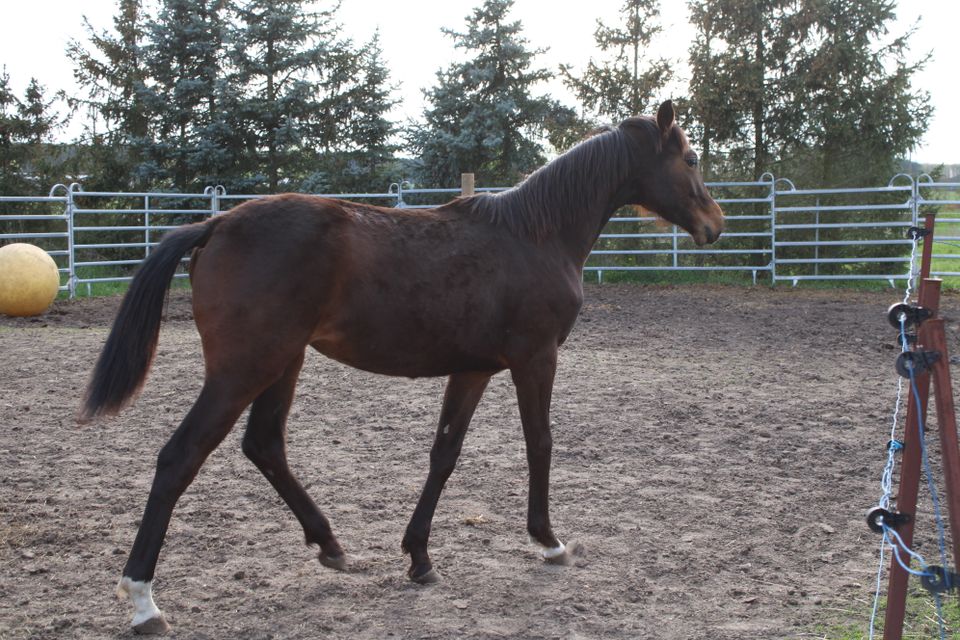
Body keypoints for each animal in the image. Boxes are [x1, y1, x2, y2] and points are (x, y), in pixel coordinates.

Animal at [82, 102, 724, 632]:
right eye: (691, 158)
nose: (715, 224)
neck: (534, 235)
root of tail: (216, 224)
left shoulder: (473, 370)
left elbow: (445, 453)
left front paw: (419, 556)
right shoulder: (535, 358)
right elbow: (539, 441)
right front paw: (549, 542)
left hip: (282, 362)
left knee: (264, 444)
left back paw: (331, 545)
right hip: (243, 369)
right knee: (180, 457)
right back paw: (143, 601)